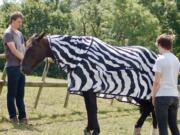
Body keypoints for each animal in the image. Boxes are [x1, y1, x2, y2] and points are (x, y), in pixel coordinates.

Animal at [21, 33, 158, 135]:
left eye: (31, 48)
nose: (23, 69)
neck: (79, 56)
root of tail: (155, 56)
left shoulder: (90, 87)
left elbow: (92, 109)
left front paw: (95, 130)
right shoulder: (86, 88)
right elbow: (89, 109)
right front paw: (88, 129)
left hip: (142, 92)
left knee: (151, 108)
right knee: (148, 108)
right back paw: (138, 129)